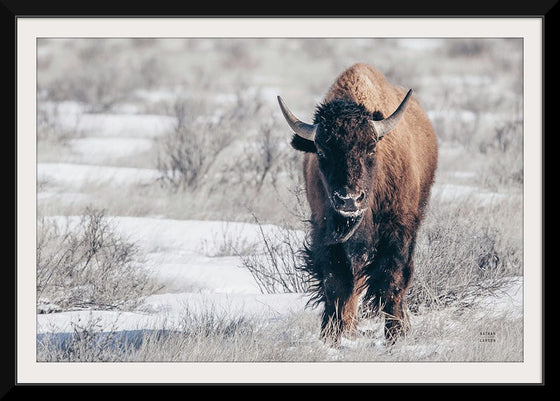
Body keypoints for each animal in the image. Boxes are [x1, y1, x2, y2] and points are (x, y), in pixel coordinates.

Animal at [278, 62, 440, 344]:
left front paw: (395, 335)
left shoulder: (398, 232)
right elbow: (336, 284)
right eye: (322, 151)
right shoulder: (326, 234)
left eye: (371, 148)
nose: (349, 199)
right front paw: (331, 337)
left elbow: (392, 281)